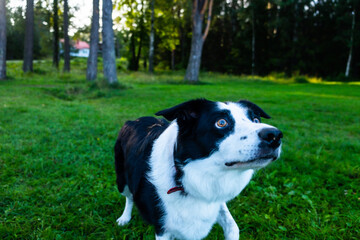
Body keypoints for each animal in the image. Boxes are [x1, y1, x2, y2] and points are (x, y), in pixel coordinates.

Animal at [114, 98, 282, 239]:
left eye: (256, 119)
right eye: (221, 122)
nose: (275, 135)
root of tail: (133, 121)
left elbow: (232, 226)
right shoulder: (162, 227)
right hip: (122, 179)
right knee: (129, 197)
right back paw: (124, 218)